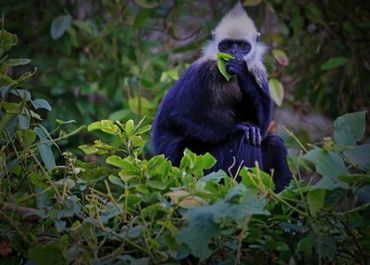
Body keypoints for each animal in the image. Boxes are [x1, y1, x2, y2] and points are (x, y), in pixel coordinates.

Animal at [152, 2, 290, 192]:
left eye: (242, 45)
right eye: (226, 45)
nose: (233, 51)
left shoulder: (258, 72)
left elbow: (261, 125)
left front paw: (243, 74)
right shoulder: (202, 71)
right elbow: (179, 115)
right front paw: (239, 127)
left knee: (274, 142)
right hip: (189, 161)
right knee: (245, 138)